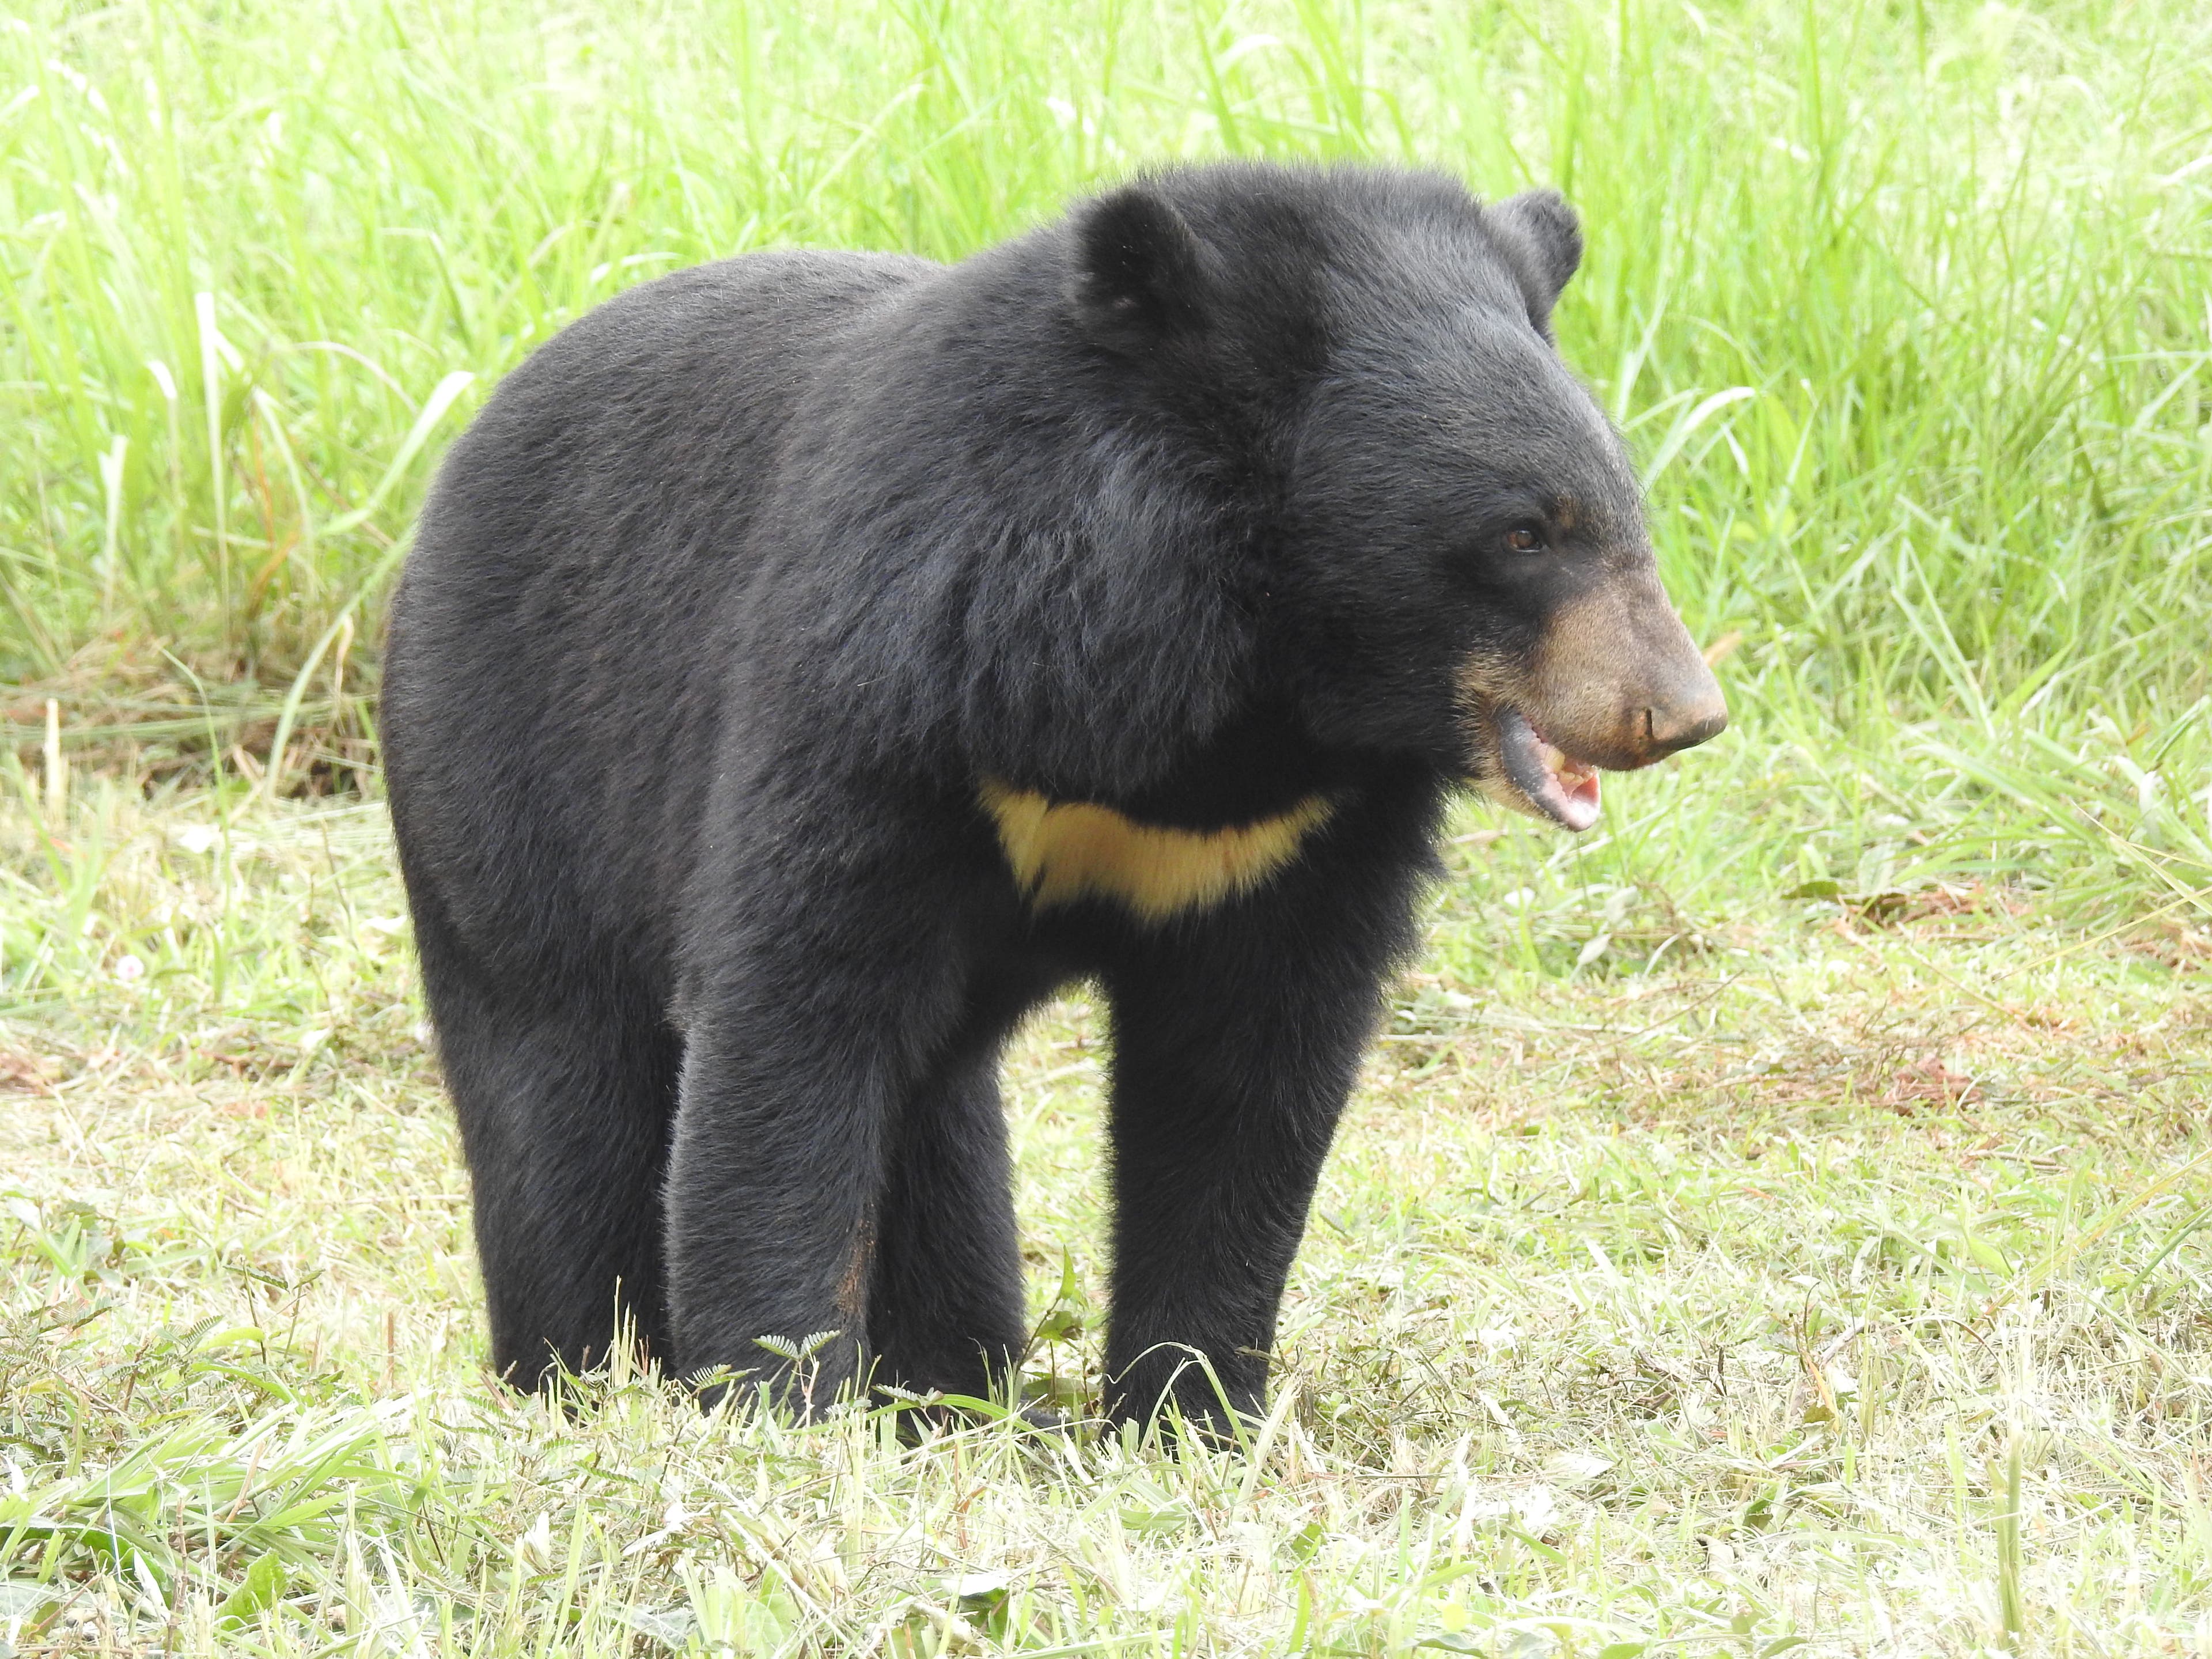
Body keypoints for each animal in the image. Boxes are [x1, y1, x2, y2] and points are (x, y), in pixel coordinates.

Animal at [379, 161, 1726, 1434]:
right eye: (1524, 534)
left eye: (1626, 516)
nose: (1681, 712)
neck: (1242, 691)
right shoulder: (893, 682)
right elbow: (794, 1010)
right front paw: (776, 1403)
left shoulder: (1299, 834)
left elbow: (1245, 1075)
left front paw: (1190, 1413)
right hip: (509, 776)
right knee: (562, 1087)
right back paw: (580, 1370)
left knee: (940, 1124)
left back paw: (951, 1386)